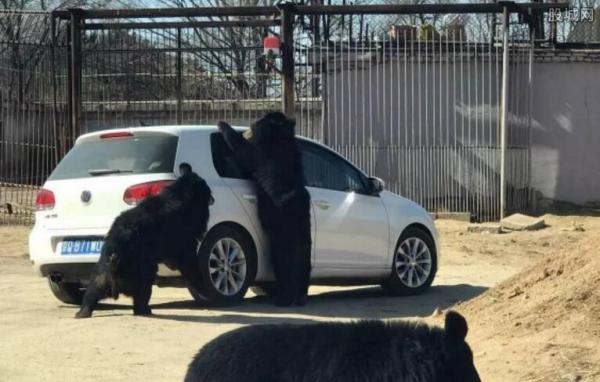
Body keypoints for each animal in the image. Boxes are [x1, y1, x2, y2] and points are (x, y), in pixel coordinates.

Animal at [218, 113, 312, 308]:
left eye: (254, 125)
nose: (245, 131)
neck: (278, 140)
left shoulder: (266, 157)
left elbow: (245, 152)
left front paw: (223, 125)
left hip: (283, 233)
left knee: (285, 265)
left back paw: (284, 298)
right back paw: (300, 296)